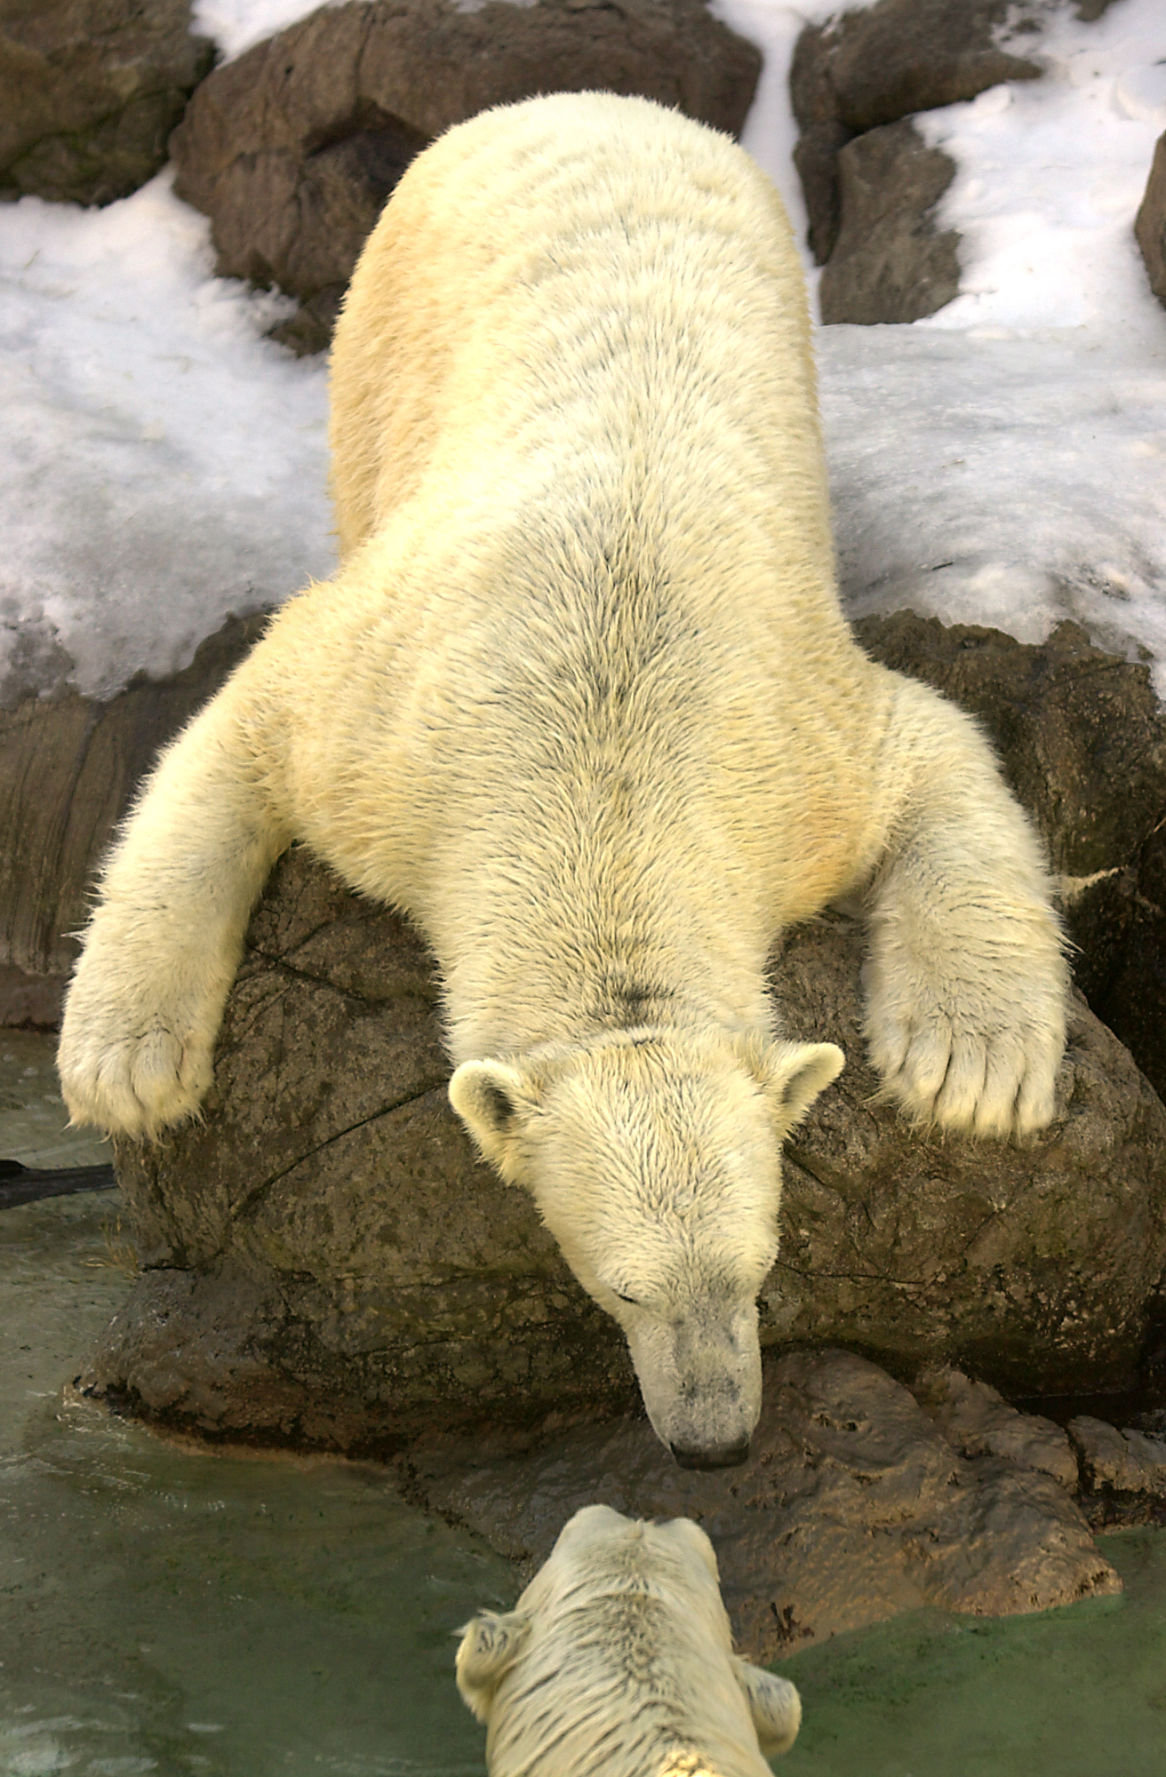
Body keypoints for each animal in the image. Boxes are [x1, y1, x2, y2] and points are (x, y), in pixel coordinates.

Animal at [59, 86, 1073, 1471]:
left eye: (759, 1269)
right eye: (620, 1288)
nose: (713, 1443)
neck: (607, 776)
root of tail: (582, 98)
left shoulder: (795, 749)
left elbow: (935, 754)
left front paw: (969, 1071)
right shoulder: (384, 732)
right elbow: (236, 735)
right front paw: (128, 1068)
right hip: (383, 325)